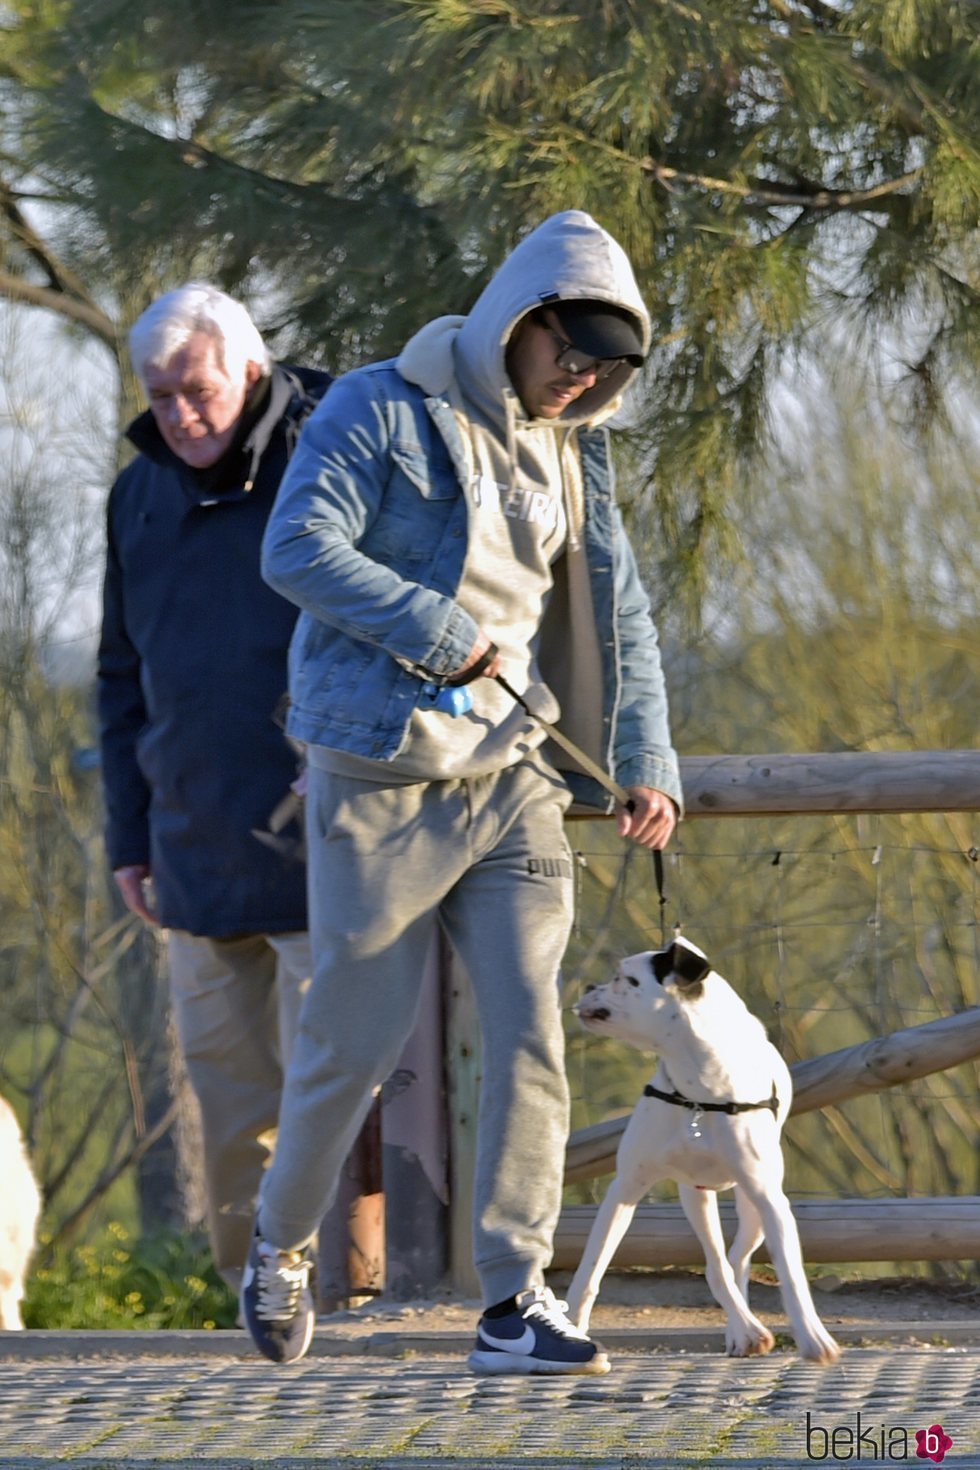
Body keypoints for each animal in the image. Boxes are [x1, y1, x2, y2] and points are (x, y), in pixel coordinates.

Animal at [567, 934, 846, 1358]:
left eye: (625, 979)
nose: (588, 987)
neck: (700, 1090)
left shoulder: (770, 1201)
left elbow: (790, 1275)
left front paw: (813, 1337)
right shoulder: (625, 1189)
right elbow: (591, 1268)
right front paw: (573, 1327)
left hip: (753, 1208)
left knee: (736, 1258)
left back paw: (744, 1328)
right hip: (694, 1195)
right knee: (719, 1265)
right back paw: (744, 1330)